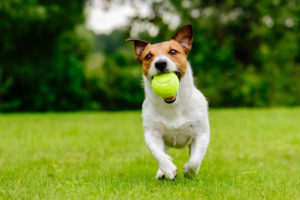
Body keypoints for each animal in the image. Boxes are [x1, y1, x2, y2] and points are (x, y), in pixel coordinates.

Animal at [126, 24, 209, 180]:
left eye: (173, 51)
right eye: (148, 56)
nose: (160, 63)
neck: (173, 106)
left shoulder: (201, 134)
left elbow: (195, 159)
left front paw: (189, 171)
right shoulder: (152, 134)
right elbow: (158, 154)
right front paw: (168, 168)